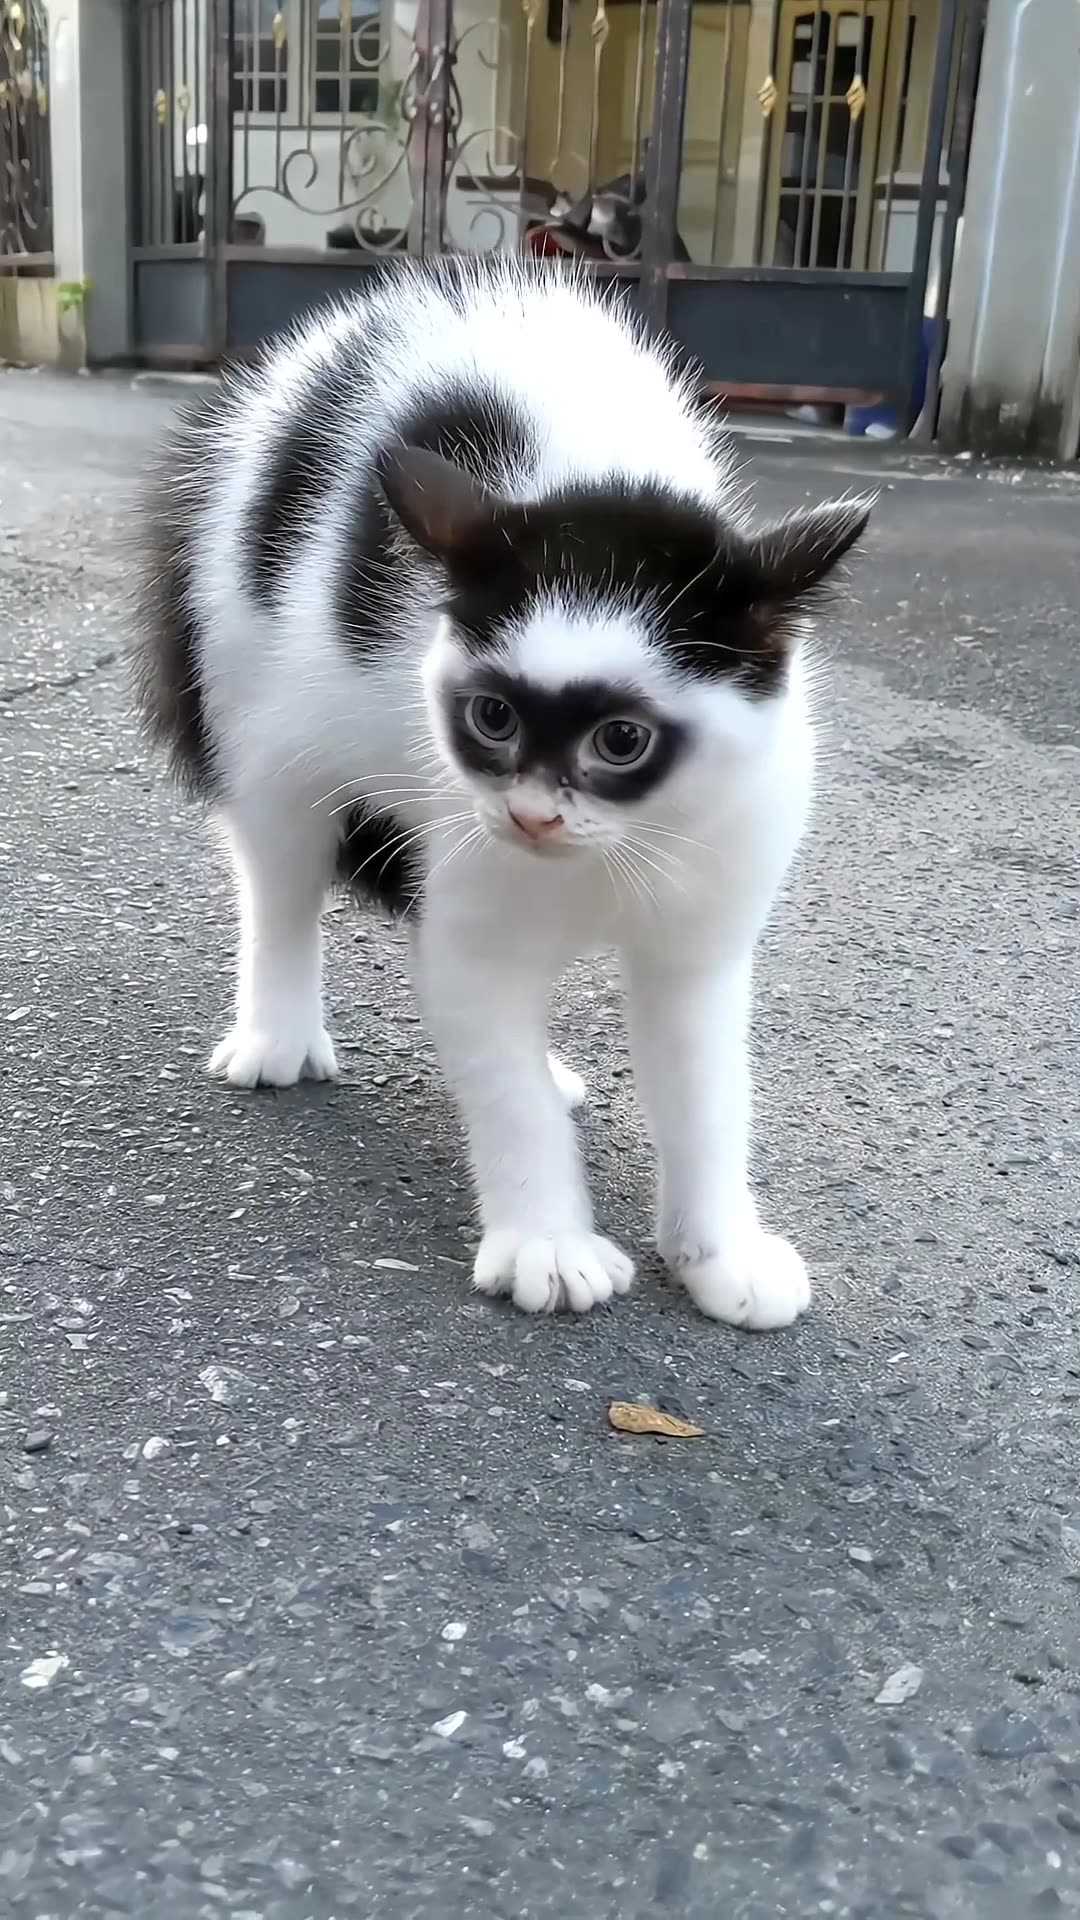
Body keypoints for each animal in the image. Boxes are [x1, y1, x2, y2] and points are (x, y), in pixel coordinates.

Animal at [134, 259, 868, 1320]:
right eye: (492, 719)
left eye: (621, 740)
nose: (530, 813)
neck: (619, 847)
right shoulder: (476, 874)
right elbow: (492, 1054)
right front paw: (547, 1241)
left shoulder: (707, 920)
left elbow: (704, 1086)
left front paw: (719, 1249)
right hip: (258, 702)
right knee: (281, 877)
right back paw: (276, 1028)